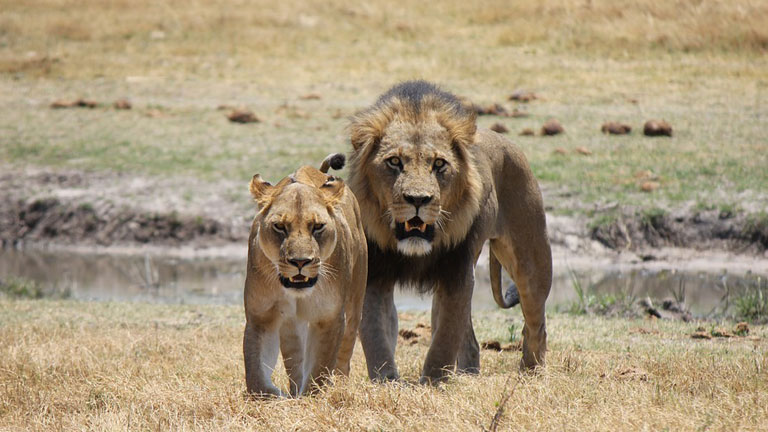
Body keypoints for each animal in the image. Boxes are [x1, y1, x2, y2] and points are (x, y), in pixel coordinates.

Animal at [243, 153, 367, 397]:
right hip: (291, 325)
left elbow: (320, 367)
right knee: (295, 359)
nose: (300, 262)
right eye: (279, 226)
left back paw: (340, 387)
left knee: (344, 355)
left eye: (317, 226)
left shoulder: (328, 317)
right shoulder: (261, 317)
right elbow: (255, 376)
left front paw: (311, 397)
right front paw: (278, 396)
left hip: (354, 306)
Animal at [347, 80, 552, 383]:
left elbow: (445, 338)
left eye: (439, 164)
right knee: (472, 342)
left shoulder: (457, 271)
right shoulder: (376, 274)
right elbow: (376, 334)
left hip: (533, 264)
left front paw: (432, 382)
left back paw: (530, 373)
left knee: (535, 325)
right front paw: (386, 381)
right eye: (394, 162)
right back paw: (469, 375)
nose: (418, 199)